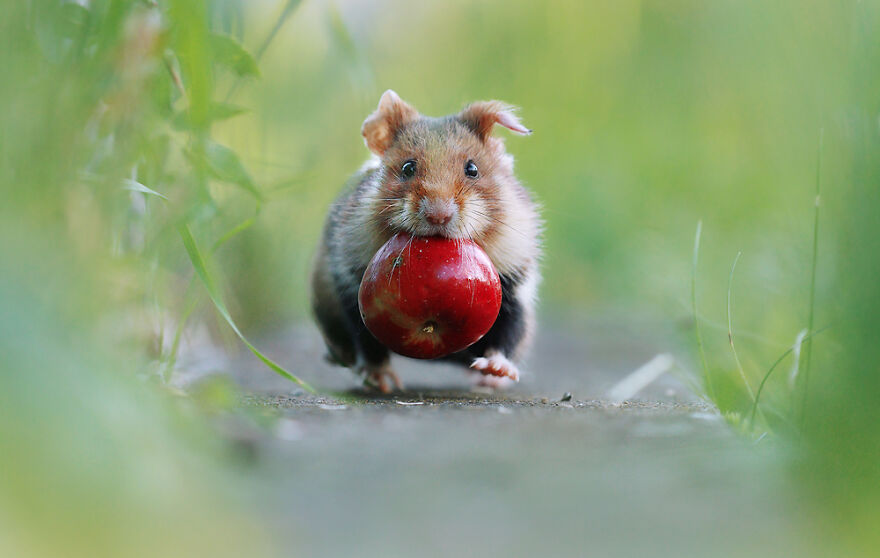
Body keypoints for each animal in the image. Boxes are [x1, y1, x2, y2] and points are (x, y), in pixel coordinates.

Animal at [310, 90, 541, 392]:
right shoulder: (349, 283)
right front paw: (381, 380)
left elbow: (508, 336)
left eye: (472, 169)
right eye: (408, 168)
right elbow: (367, 342)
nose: (438, 215)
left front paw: (495, 371)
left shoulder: (516, 285)